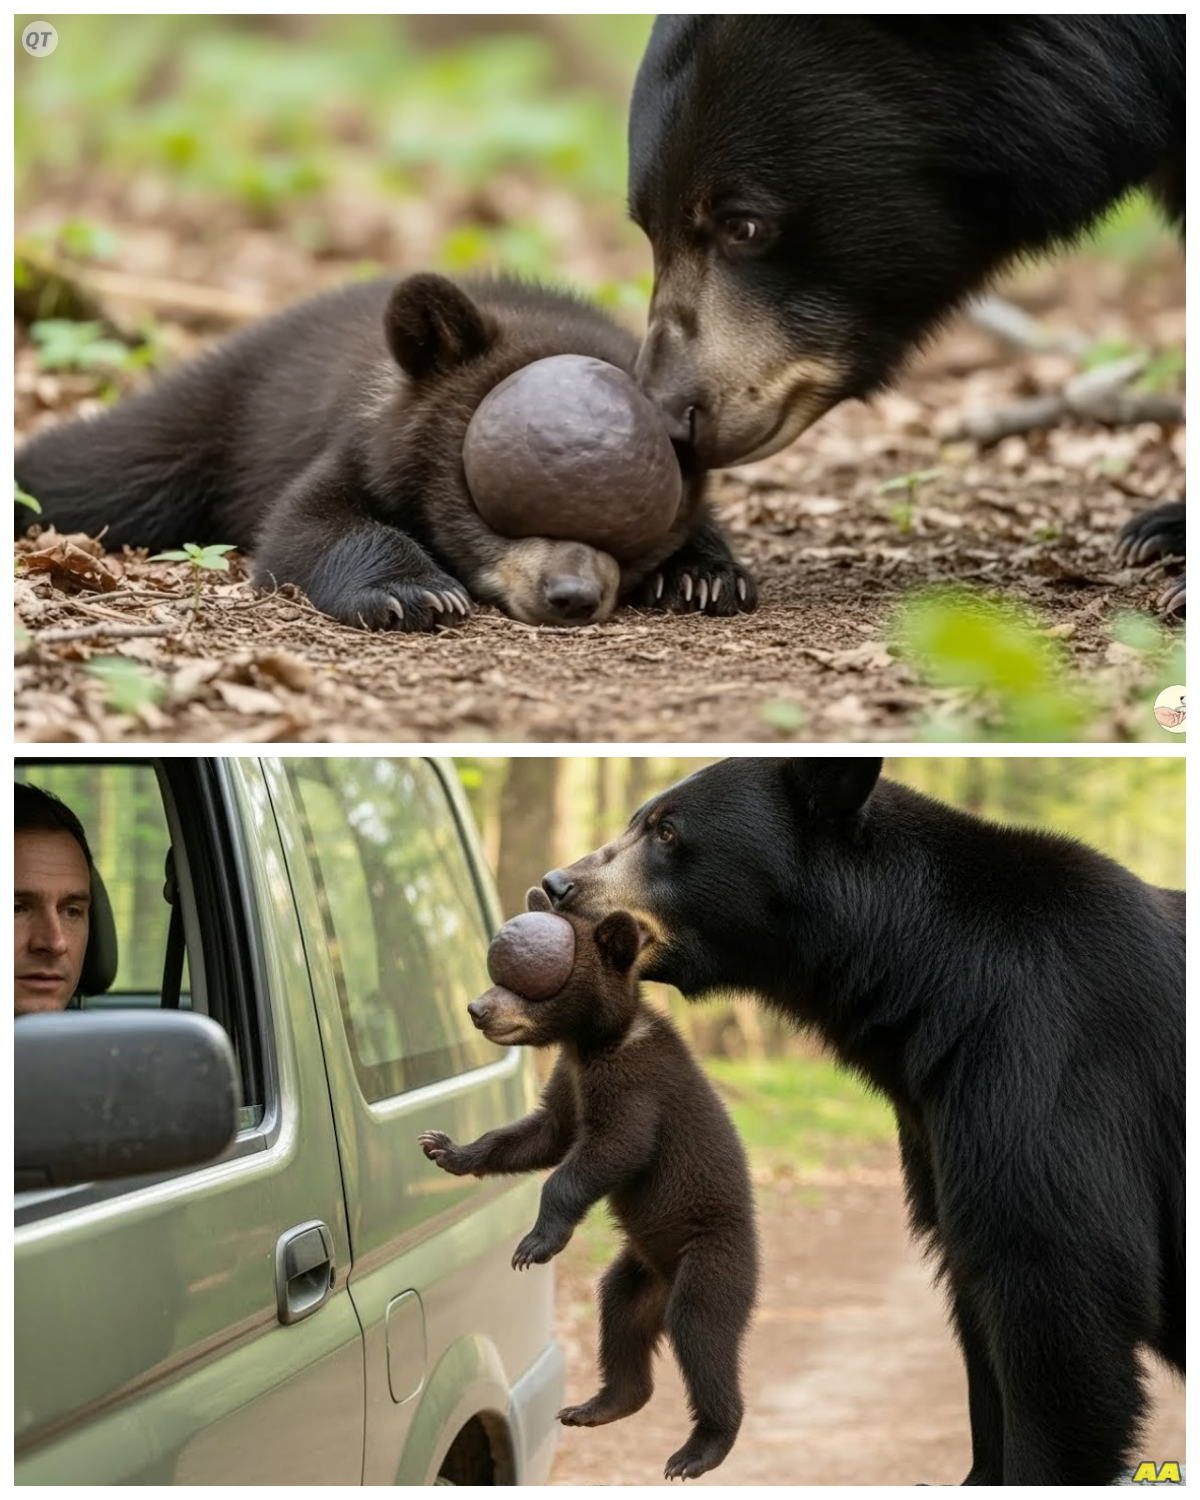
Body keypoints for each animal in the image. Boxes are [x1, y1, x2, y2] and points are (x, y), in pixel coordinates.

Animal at [14, 274, 758, 631]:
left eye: (634, 521)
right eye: (499, 502)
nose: (571, 596)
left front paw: (702, 576)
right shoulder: (360, 438)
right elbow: (307, 523)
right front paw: (414, 592)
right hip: (208, 422)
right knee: (98, 469)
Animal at [418, 886, 759, 1483]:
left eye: (530, 981)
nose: (478, 1008)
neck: (594, 1041)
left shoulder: (634, 1084)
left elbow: (607, 1150)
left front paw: (534, 1244)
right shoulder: (570, 1079)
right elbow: (543, 1133)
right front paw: (446, 1149)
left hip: (713, 1258)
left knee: (703, 1333)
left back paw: (700, 1448)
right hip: (638, 1274)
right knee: (619, 1315)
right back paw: (598, 1404)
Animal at [541, 756, 1185, 1486]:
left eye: (668, 831)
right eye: (639, 820)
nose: (557, 885)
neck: (933, 985)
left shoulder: (1047, 1068)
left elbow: (1060, 1286)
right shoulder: (941, 1126)